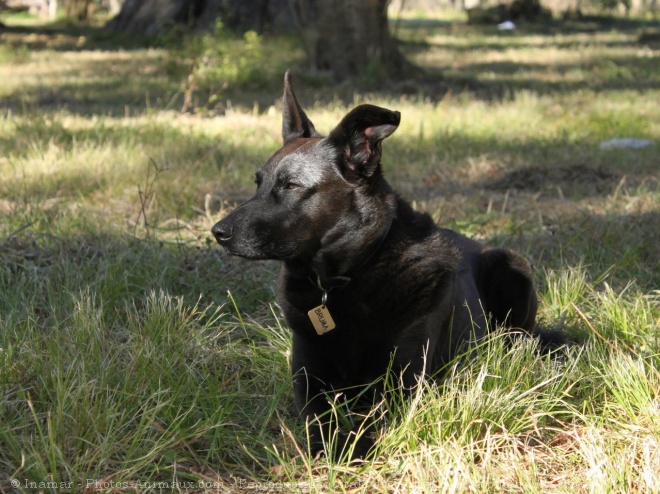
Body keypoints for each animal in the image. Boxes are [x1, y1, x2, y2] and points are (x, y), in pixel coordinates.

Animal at [214, 71, 544, 458]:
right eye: (258, 183)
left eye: (292, 185)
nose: (218, 232)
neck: (350, 275)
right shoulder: (309, 379)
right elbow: (318, 420)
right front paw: (331, 447)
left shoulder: (403, 381)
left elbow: (369, 420)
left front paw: (351, 450)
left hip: (509, 263)